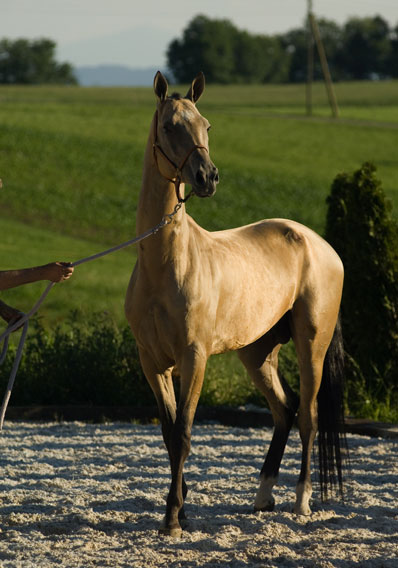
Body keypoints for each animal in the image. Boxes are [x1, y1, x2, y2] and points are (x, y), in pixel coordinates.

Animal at [124, 72, 346, 536]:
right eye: (169, 126)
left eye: (206, 125)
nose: (207, 176)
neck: (165, 264)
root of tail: (320, 246)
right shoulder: (153, 363)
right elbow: (169, 434)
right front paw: (181, 510)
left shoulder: (194, 358)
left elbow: (184, 433)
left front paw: (173, 519)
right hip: (257, 353)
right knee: (284, 410)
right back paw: (263, 497)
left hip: (311, 346)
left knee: (308, 416)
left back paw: (302, 501)